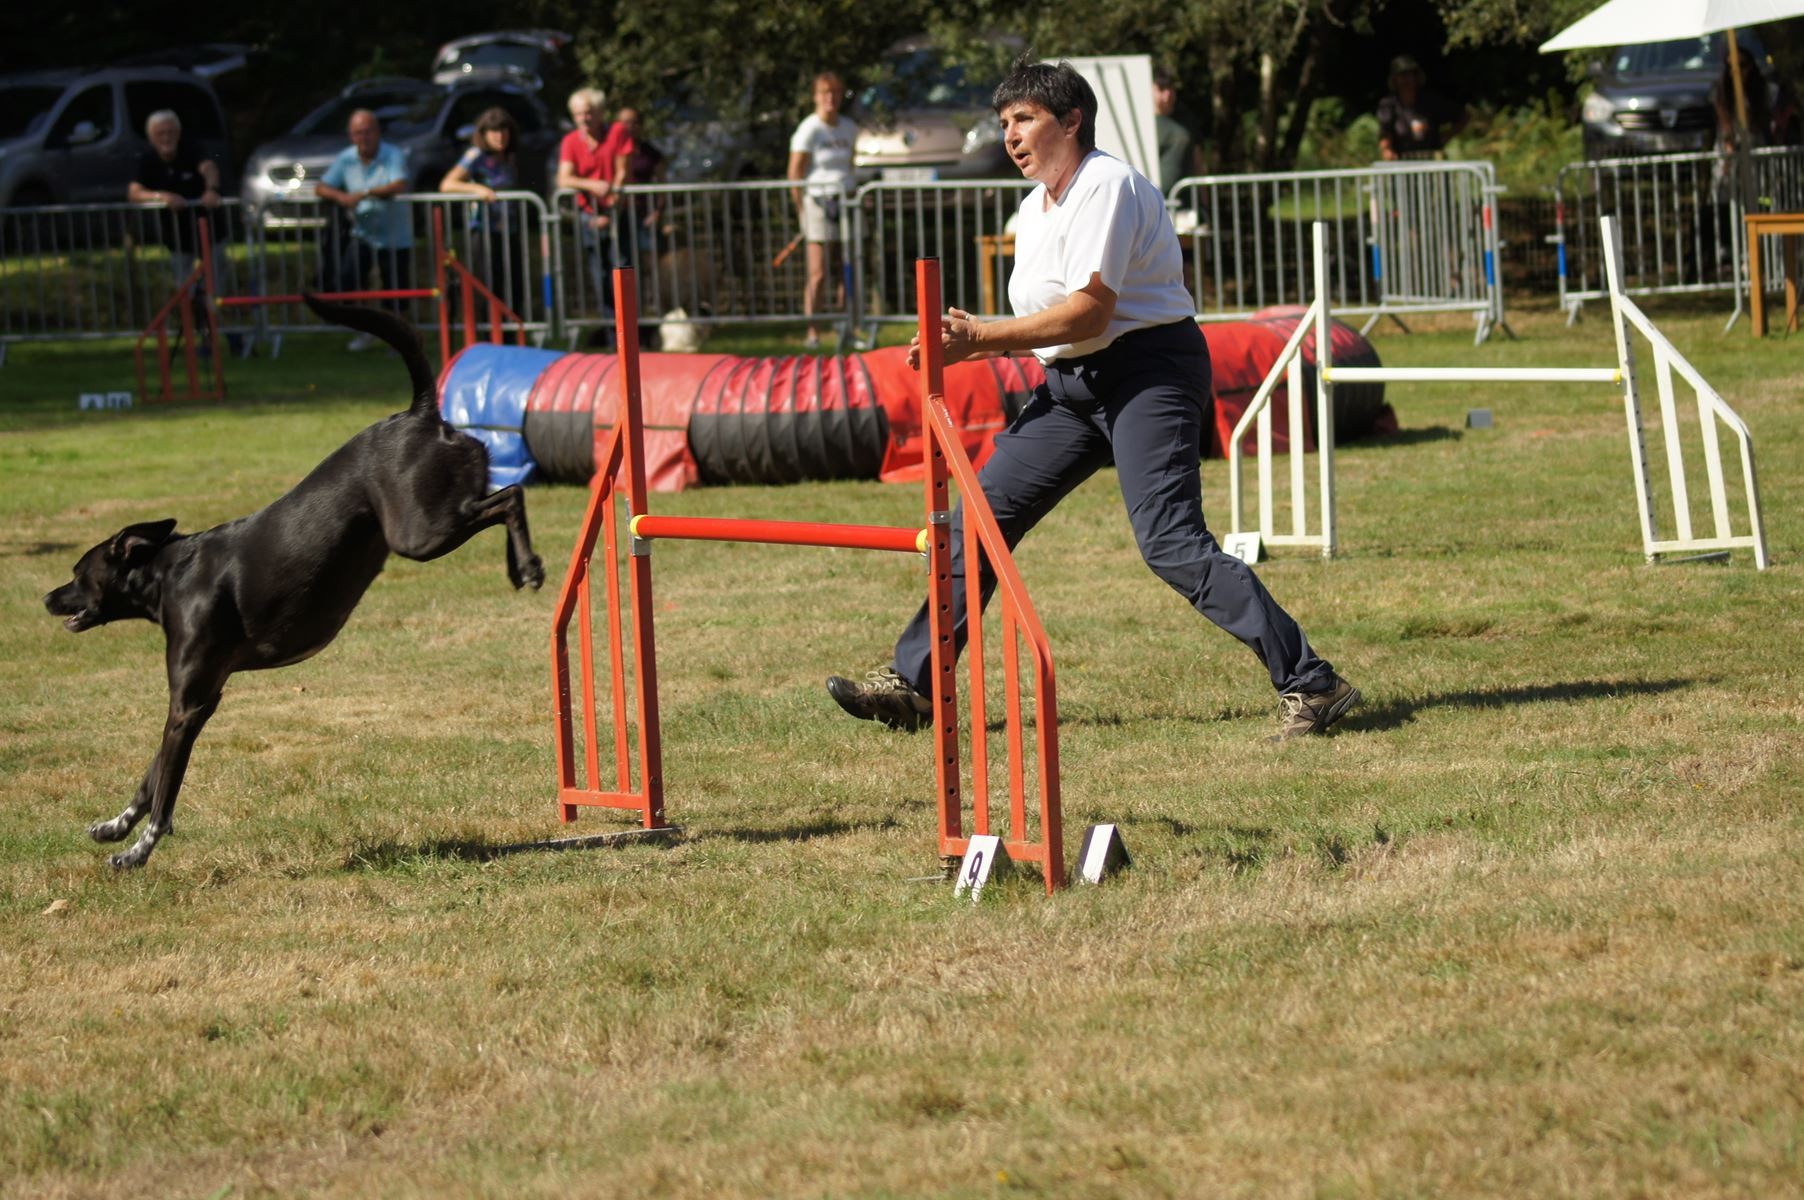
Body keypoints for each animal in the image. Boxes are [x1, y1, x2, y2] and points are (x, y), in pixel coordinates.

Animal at [38, 294, 537, 866]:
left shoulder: (187, 705)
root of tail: (420, 415)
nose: (47, 598)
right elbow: (151, 776)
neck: (169, 574)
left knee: (511, 496)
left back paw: (526, 565)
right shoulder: (200, 699)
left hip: (420, 533)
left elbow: (165, 793)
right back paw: (517, 565)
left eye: (78, 572)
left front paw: (139, 851)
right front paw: (115, 826)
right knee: (505, 495)